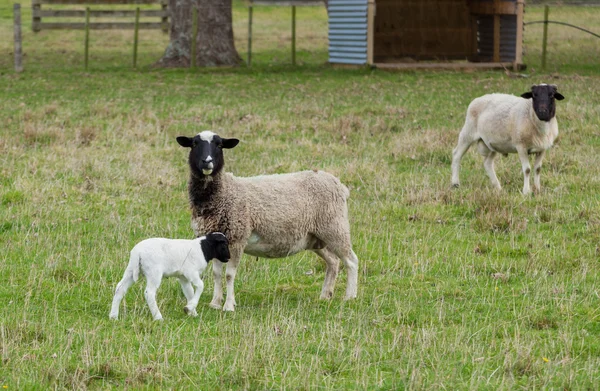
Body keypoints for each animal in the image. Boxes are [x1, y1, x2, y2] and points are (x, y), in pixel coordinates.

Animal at [176, 131, 358, 312]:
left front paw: (228, 306)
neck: (224, 192)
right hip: (315, 237)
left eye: (219, 145)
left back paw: (350, 297)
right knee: (333, 262)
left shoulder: (237, 238)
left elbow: (229, 275)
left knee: (351, 261)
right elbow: (217, 273)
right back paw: (325, 295)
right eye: (194, 144)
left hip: (335, 227)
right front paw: (215, 303)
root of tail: (340, 185)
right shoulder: (216, 241)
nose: (207, 162)